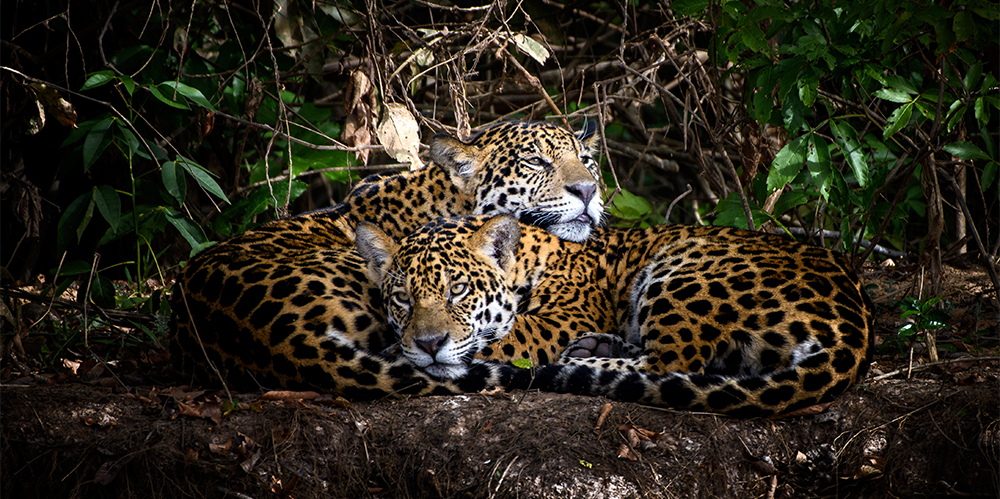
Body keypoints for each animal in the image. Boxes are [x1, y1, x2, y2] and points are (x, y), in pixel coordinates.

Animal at [355, 214, 875, 417]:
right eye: (402, 299)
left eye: (457, 290)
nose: (428, 344)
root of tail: (855, 320)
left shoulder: (558, 318)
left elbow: (505, 336)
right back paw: (598, 345)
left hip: (684, 271)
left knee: (672, 363)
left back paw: (584, 359)